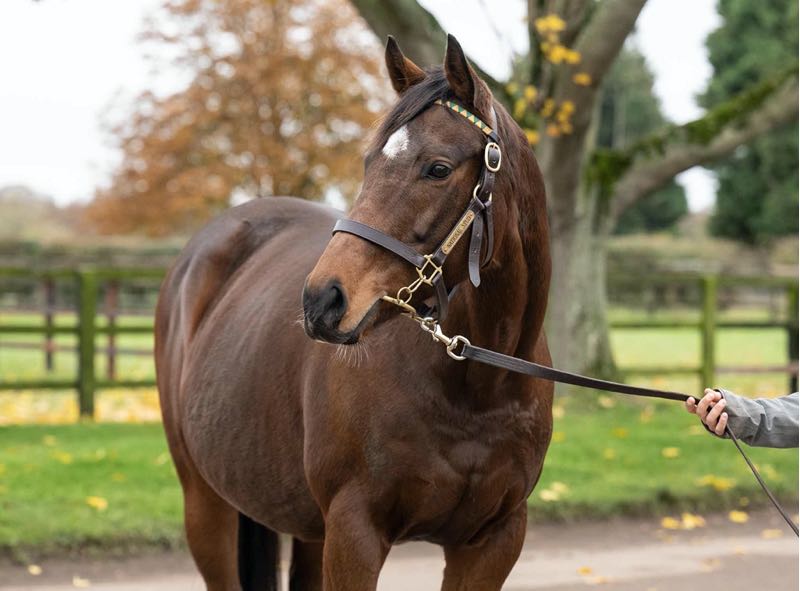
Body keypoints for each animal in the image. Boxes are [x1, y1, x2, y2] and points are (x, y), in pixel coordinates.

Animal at [155, 34, 553, 591]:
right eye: (369, 163)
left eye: (438, 168)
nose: (322, 300)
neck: (478, 390)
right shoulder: (354, 532)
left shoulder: (493, 541)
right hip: (206, 505)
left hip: (304, 527)